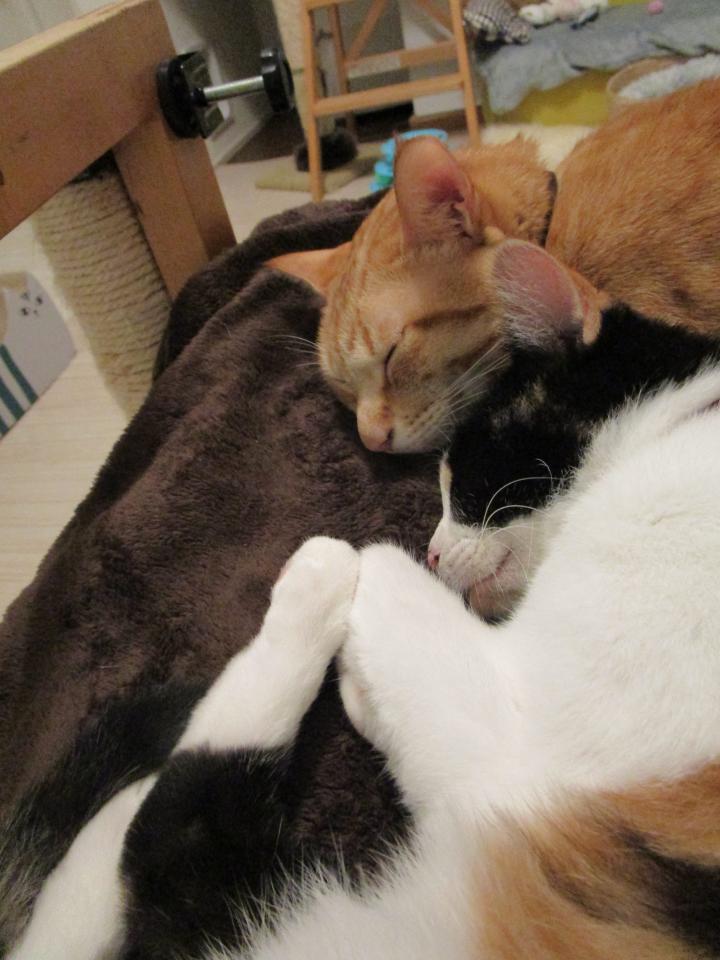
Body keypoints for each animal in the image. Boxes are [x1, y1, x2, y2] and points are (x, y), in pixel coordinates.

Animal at [10, 356, 720, 958]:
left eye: (462, 482)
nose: (434, 551)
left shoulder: (508, 737)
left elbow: (383, 569)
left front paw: (353, 650)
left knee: (172, 826)